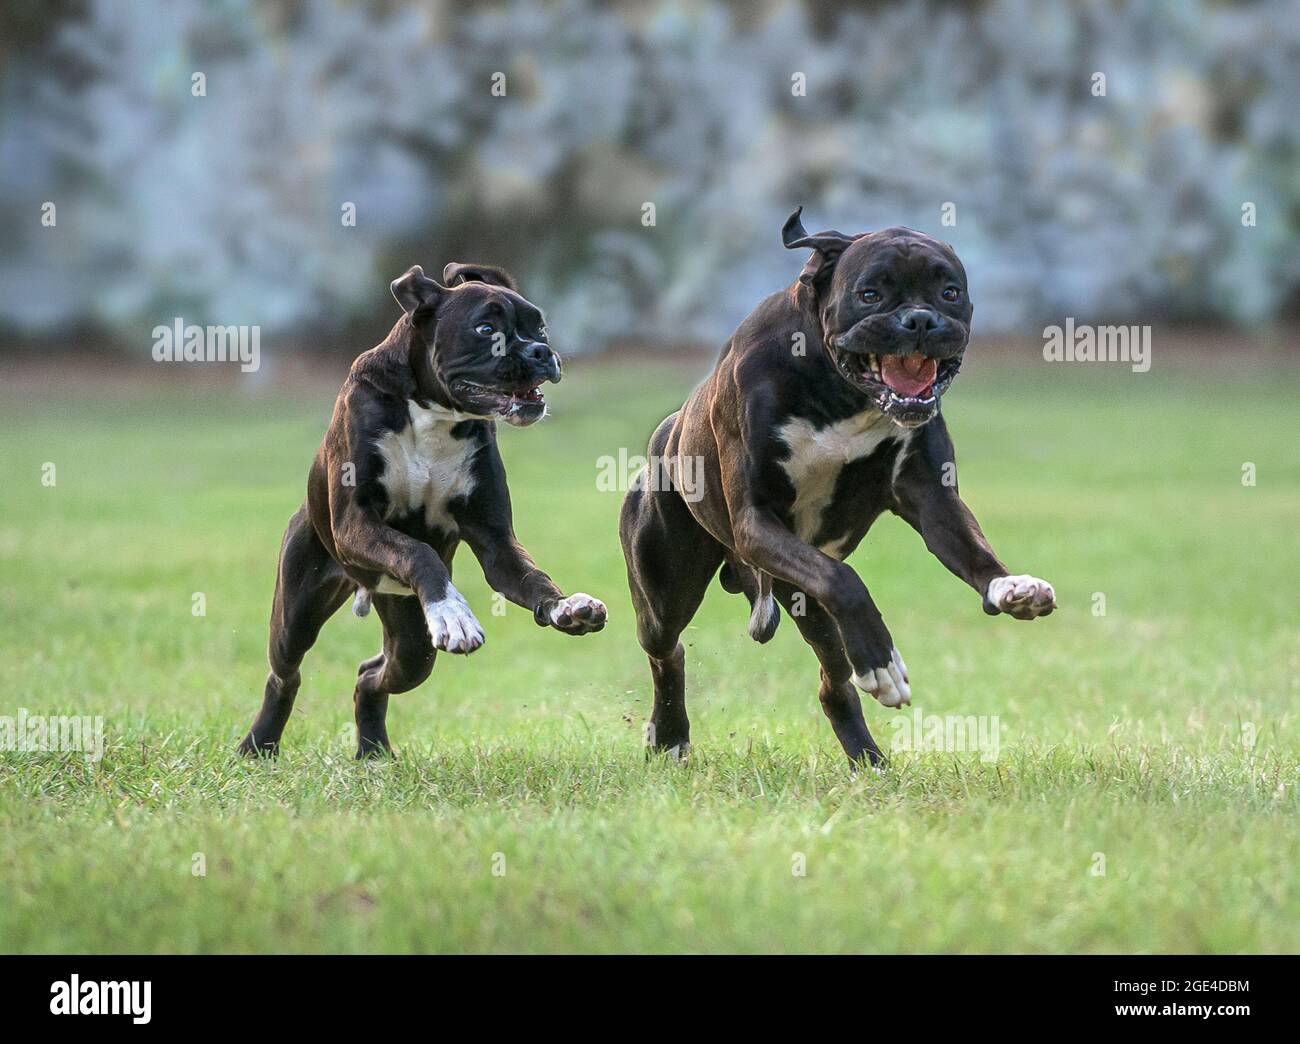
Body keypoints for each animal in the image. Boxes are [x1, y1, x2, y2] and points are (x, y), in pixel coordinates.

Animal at [241, 261, 605, 759]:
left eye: (540, 327)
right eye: (485, 329)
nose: (541, 351)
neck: (435, 415)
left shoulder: (497, 544)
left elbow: (533, 578)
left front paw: (566, 607)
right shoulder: (355, 524)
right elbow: (418, 551)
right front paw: (453, 613)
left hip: (411, 637)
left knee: (372, 674)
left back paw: (372, 752)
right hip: (298, 610)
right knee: (285, 675)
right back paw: (257, 746)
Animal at [618, 210, 1055, 769]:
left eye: (949, 292)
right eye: (870, 294)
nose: (920, 320)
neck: (840, 392)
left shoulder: (933, 500)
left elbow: (972, 551)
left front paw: (1011, 587)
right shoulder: (756, 522)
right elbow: (845, 580)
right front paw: (883, 660)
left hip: (799, 597)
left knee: (834, 682)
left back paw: (868, 760)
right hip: (667, 590)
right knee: (666, 650)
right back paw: (670, 734)